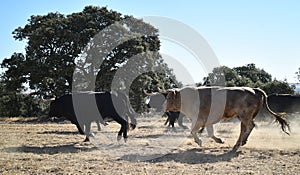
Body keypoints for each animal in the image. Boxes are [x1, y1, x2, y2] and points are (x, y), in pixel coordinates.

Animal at [162, 87, 290, 151]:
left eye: (168, 97)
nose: (163, 106)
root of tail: (255, 90)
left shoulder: (199, 119)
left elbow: (193, 131)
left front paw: (199, 141)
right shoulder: (207, 121)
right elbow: (210, 133)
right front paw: (219, 140)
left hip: (244, 116)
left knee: (245, 128)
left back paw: (237, 144)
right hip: (245, 116)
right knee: (249, 126)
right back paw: (242, 142)